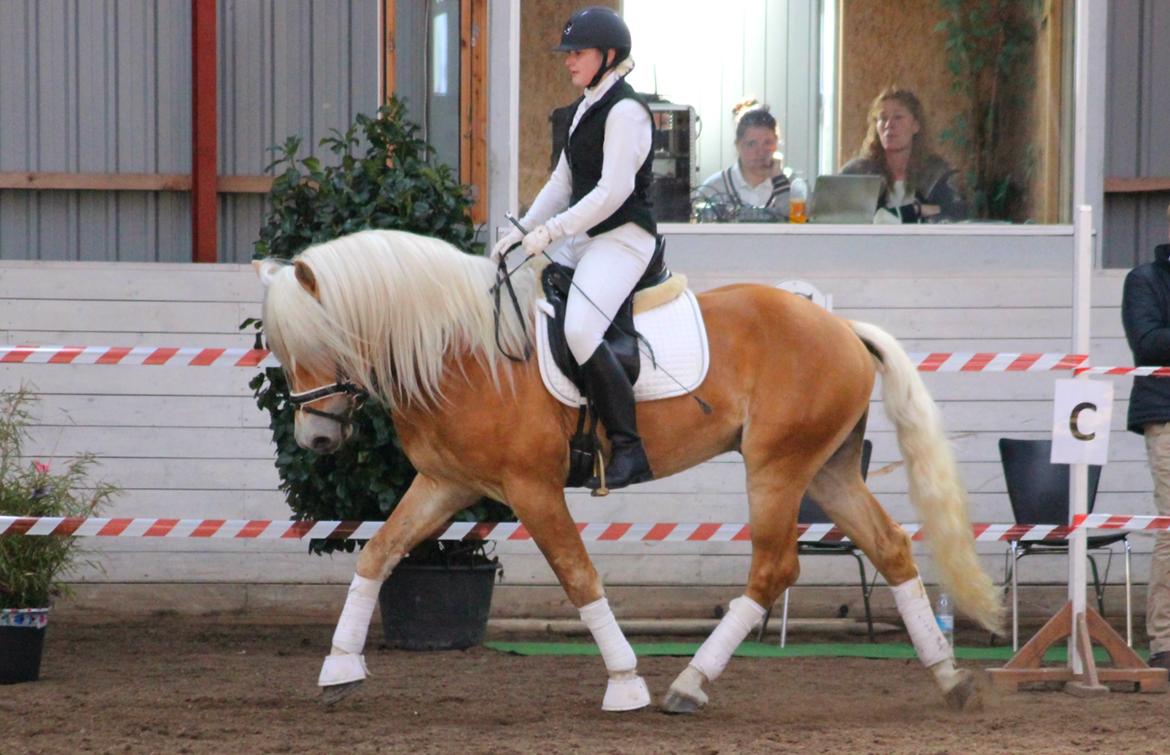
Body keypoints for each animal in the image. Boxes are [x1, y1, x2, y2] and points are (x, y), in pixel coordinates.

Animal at [255, 228, 1003, 714]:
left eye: (320, 338)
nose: (317, 436)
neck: (463, 351)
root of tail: (845, 328)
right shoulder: (448, 484)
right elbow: (378, 554)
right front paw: (340, 668)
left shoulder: (531, 489)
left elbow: (579, 577)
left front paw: (625, 683)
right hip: (828, 471)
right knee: (889, 547)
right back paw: (950, 678)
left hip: (778, 465)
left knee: (773, 567)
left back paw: (689, 684)